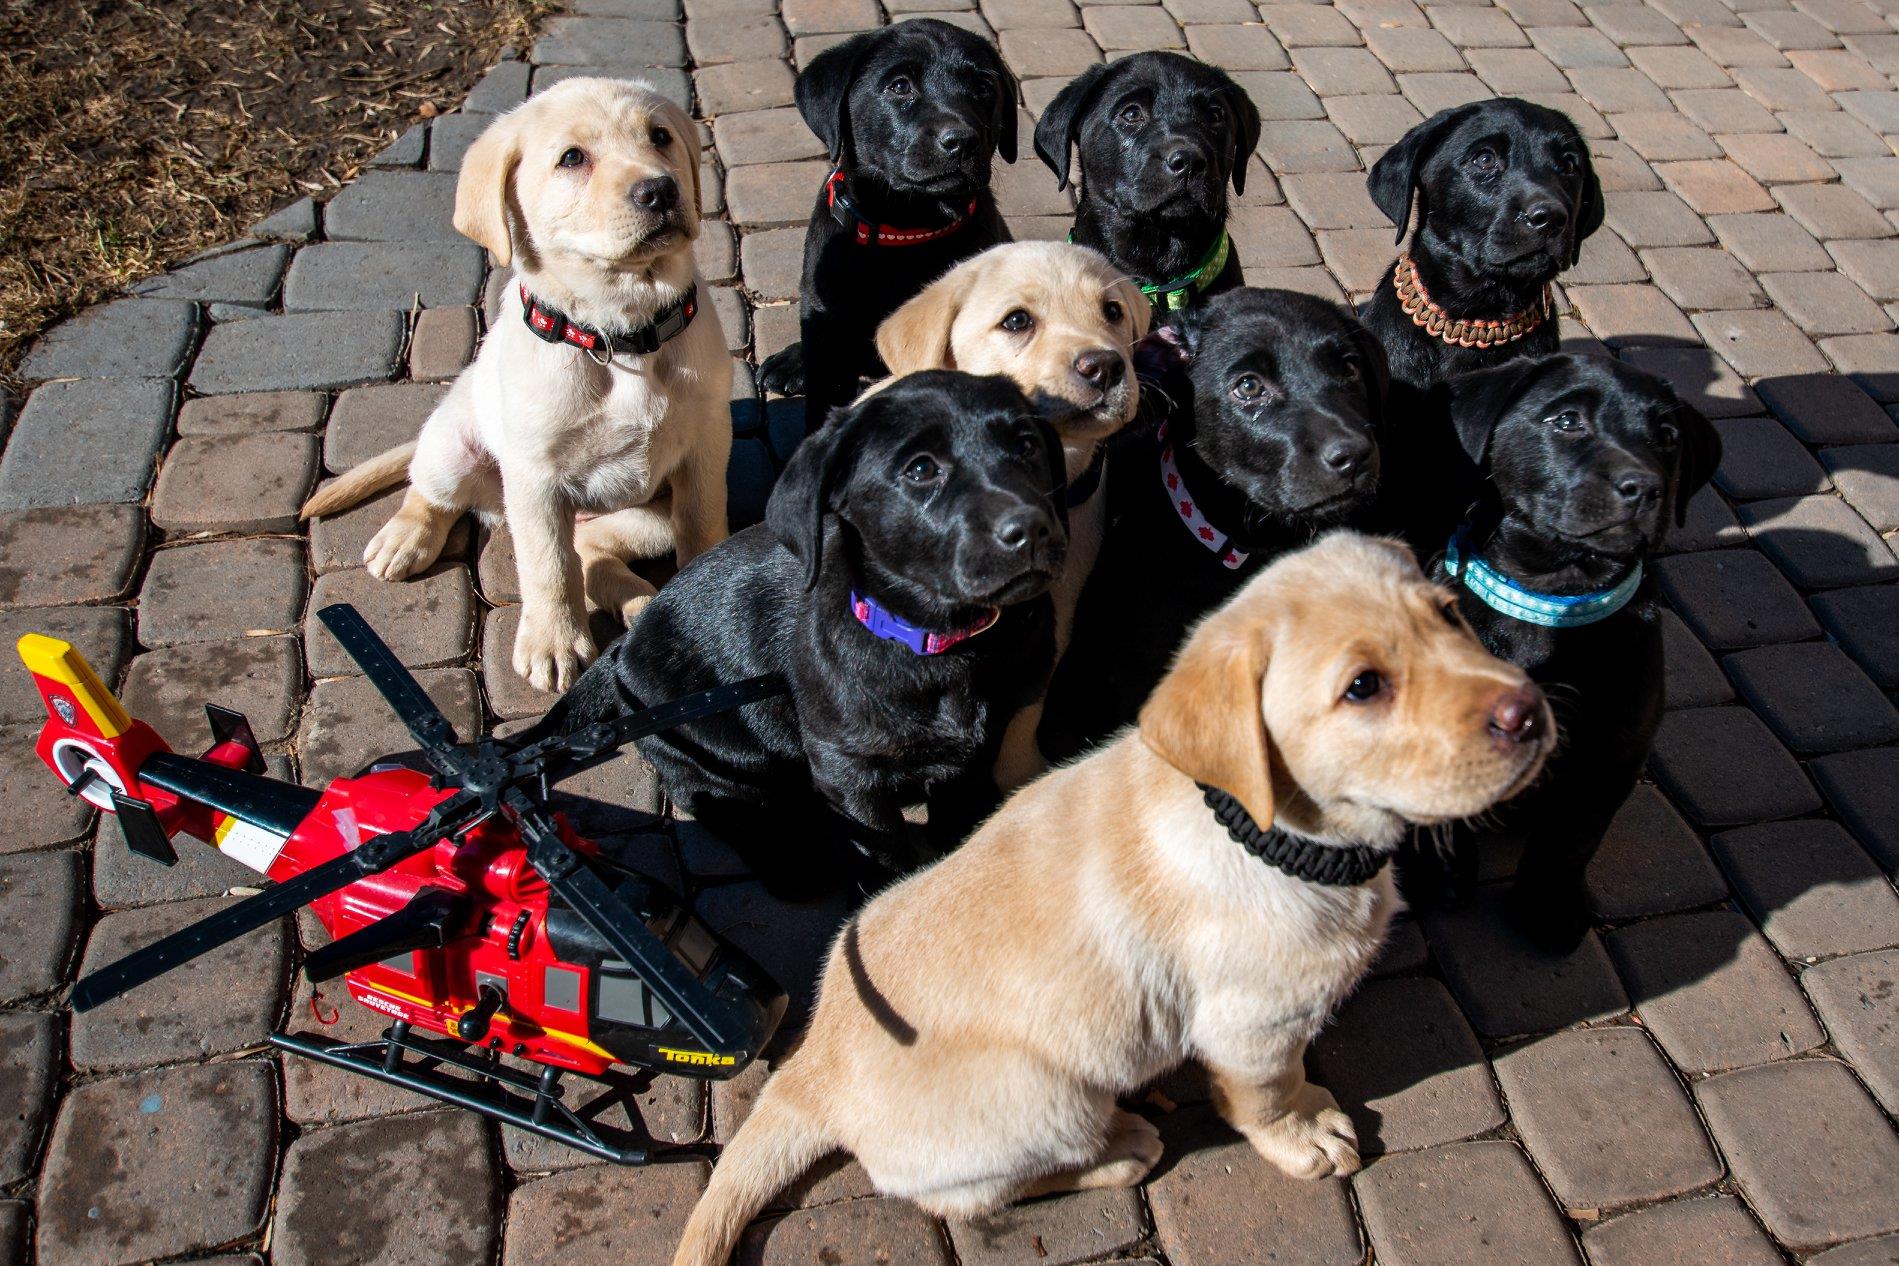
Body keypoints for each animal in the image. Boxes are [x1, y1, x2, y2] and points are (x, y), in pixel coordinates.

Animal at [299, 78, 731, 693]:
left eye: (661, 137)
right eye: (572, 158)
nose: (660, 190)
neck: (619, 332)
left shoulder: (705, 448)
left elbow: (701, 528)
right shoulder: (535, 477)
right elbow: (547, 565)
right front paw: (554, 642)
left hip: (647, 518)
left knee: (591, 556)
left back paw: (641, 604)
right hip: (453, 449)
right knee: (430, 492)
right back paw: (406, 538)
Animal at [533, 371, 1066, 885]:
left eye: (1026, 446)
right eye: (920, 470)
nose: (1033, 529)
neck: (943, 646)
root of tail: (621, 651)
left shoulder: (980, 751)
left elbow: (961, 820)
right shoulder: (846, 772)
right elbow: (884, 854)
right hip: (707, 747)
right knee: (703, 790)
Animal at [670, 532, 1554, 1266]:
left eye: (1451, 614)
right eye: (1363, 687)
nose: (1528, 712)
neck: (1262, 831)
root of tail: (810, 1068)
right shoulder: (1252, 1024)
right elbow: (1266, 1093)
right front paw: (1301, 1131)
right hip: (1049, 1095)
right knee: (966, 1199)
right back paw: (1122, 1144)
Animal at [871, 241, 1150, 787]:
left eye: (1112, 312)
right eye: (1017, 321)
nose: (1105, 366)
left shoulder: (1055, 612)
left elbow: (1027, 706)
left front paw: (1020, 775)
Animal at [1399, 353, 1720, 951]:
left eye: (1667, 437)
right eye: (1568, 421)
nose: (1643, 486)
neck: (1551, 599)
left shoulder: (1612, 752)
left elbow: (1572, 839)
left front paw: (1547, 906)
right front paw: (1439, 872)